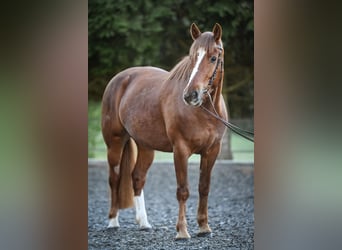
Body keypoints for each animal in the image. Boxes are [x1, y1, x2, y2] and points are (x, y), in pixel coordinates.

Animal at [101, 23, 227, 238]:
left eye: (213, 58)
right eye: (192, 57)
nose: (190, 95)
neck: (205, 112)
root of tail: (119, 79)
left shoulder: (212, 151)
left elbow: (204, 188)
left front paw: (204, 227)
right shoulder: (180, 150)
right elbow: (183, 190)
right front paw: (182, 231)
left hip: (145, 147)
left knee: (137, 178)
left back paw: (144, 223)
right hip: (115, 144)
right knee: (114, 178)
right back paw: (113, 222)